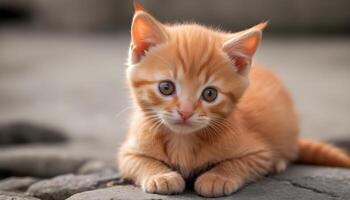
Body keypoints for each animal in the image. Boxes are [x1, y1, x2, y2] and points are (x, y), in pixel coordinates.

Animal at [117, 2, 350, 197]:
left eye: (209, 94)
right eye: (166, 88)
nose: (185, 112)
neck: (183, 141)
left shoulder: (259, 153)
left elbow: (236, 163)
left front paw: (218, 177)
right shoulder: (127, 153)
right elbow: (139, 162)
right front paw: (161, 175)